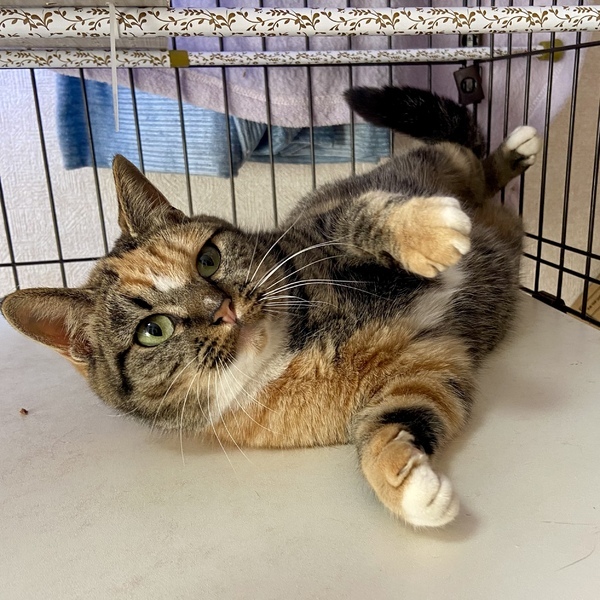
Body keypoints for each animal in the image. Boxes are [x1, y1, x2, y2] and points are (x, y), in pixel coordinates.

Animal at [1, 86, 541, 528]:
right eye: (152, 330)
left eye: (209, 258)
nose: (223, 309)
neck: (296, 349)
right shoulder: (426, 364)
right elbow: (396, 420)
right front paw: (411, 490)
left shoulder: (313, 235)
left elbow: (356, 218)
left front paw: (429, 231)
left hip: (442, 164)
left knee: (467, 157)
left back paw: (514, 151)